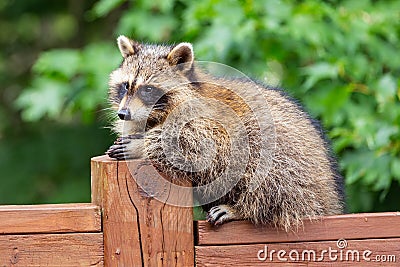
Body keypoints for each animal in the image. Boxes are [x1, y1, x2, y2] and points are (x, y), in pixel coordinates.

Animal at [105, 35, 344, 232]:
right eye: (125, 86)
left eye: (148, 89)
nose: (123, 114)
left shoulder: (208, 118)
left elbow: (197, 143)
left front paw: (143, 145)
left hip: (290, 159)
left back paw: (242, 209)